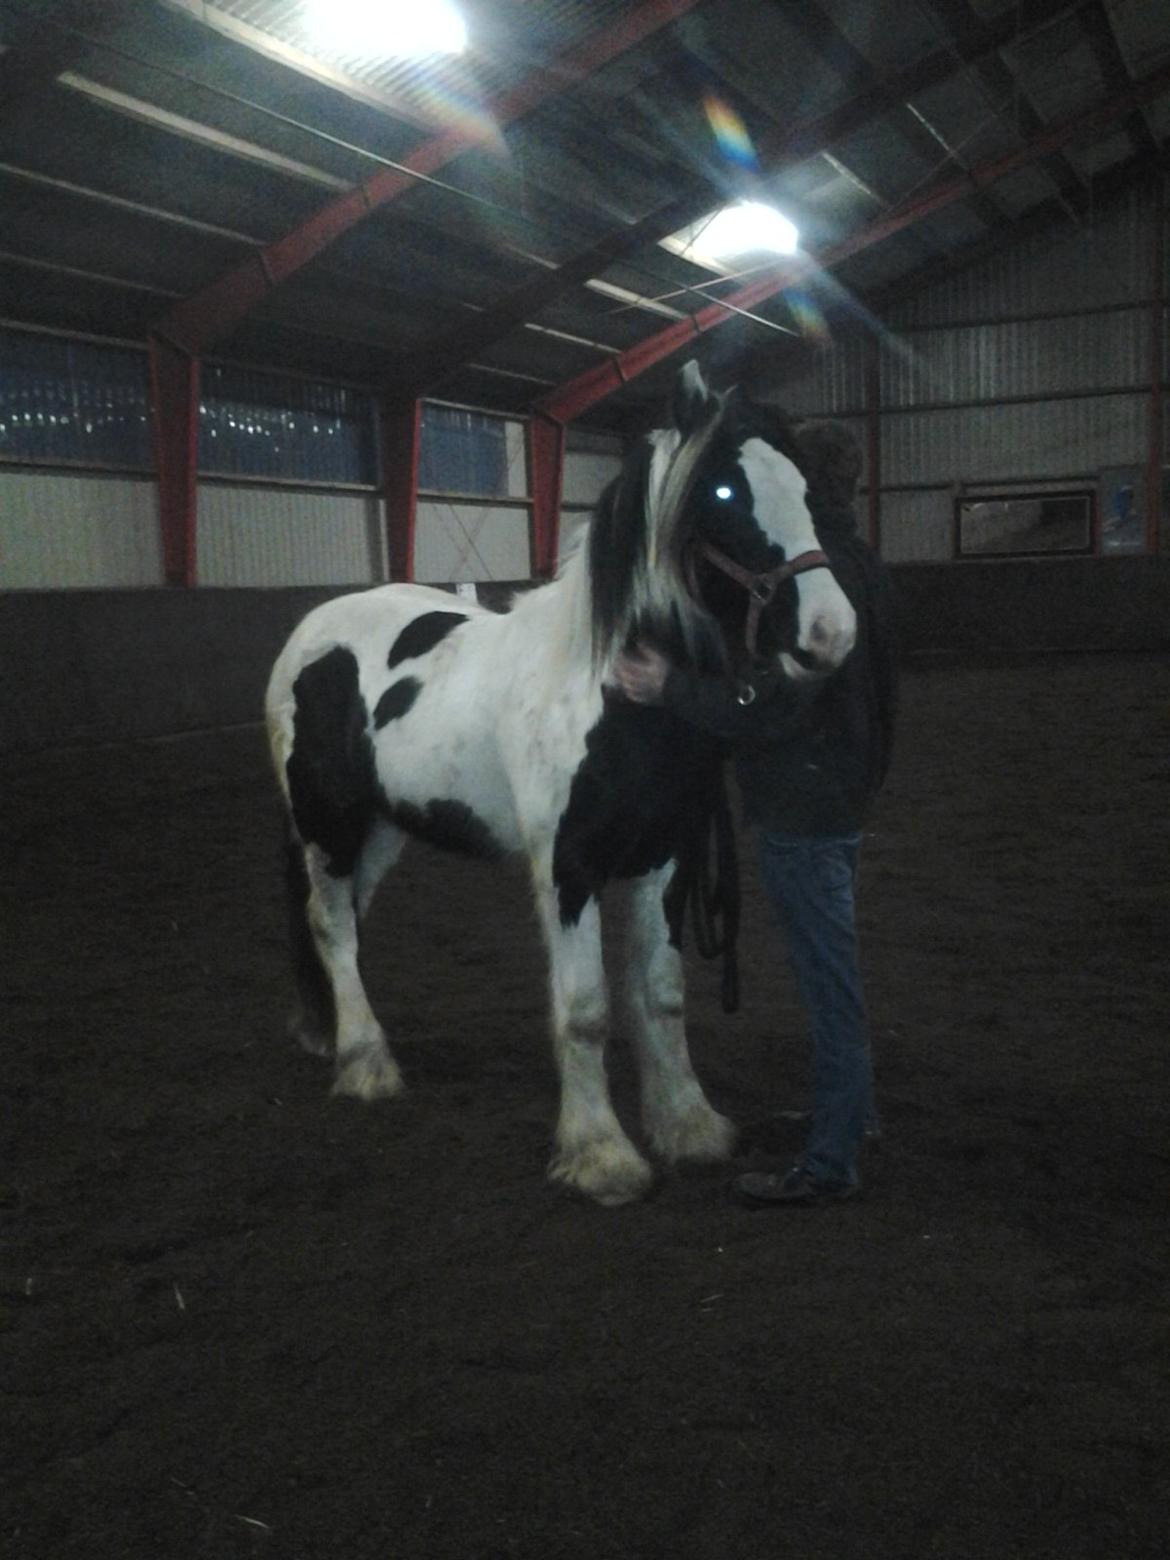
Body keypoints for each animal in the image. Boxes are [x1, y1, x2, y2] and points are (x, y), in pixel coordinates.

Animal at [265, 361, 854, 1204]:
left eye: (806, 486)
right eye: (723, 492)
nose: (830, 634)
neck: (605, 689)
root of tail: (309, 634)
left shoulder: (663, 862)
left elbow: (663, 996)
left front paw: (689, 1127)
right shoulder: (567, 870)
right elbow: (584, 1009)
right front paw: (600, 1156)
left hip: (381, 831)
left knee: (344, 919)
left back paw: (348, 1038)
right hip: (327, 824)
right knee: (330, 924)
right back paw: (367, 1065)